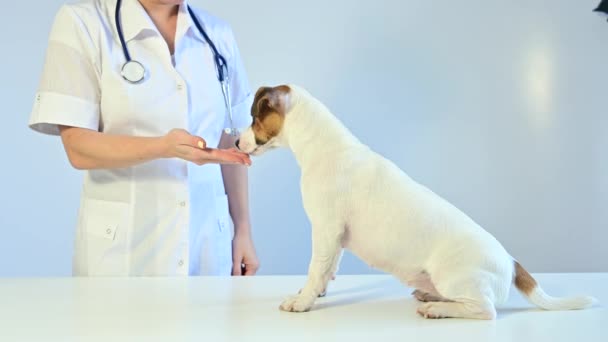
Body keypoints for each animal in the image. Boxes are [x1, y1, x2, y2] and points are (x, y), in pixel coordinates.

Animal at [235, 84, 596, 320]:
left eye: (253, 119)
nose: (236, 142)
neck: (325, 146)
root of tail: (511, 262)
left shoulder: (325, 230)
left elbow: (316, 268)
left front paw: (303, 301)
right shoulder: (334, 238)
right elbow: (327, 270)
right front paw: (315, 292)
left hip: (456, 278)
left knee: (485, 310)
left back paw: (437, 307)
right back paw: (430, 294)